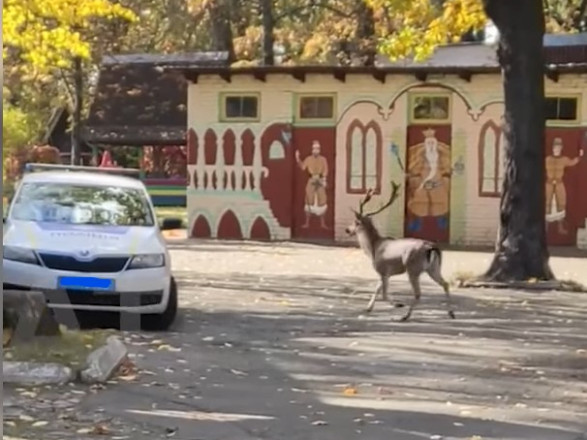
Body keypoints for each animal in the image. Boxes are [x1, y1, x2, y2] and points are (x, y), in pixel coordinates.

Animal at [346, 180, 458, 322]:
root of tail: (431, 247)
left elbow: (383, 293)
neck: (374, 248)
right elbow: (377, 289)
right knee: (445, 284)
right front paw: (368, 307)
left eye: (356, 222)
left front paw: (398, 304)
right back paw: (451, 313)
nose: (347, 230)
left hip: (413, 268)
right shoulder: (386, 273)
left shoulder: (383, 270)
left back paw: (405, 316)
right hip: (434, 268)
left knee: (418, 293)